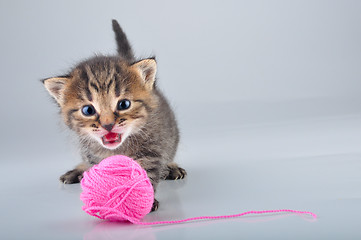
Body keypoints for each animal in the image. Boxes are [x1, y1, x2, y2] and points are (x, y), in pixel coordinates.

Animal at [42, 19, 186, 211]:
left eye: (124, 104)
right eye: (88, 110)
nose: (108, 124)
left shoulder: (152, 149)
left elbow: (144, 174)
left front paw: (140, 201)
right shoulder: (93, 155)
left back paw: (171, 167)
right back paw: (78, 171)